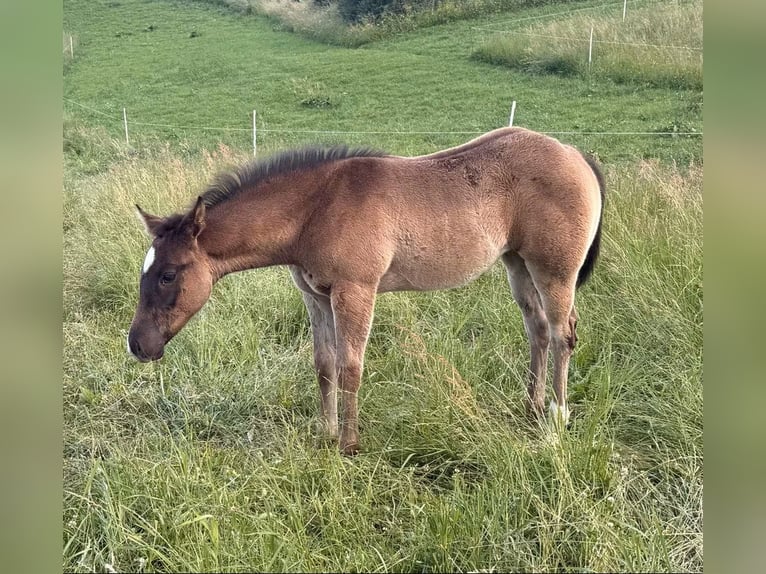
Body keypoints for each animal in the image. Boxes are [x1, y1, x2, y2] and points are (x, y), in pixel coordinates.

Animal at [128, 127, 605, 455]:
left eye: (168, 275)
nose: (137, 345)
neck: (316, 209)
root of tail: (576, 154)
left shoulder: (355, 291)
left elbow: (350, 367)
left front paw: (350, 443)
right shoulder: (315, 295)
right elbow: (324, 364)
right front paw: (324, 432)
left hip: (554, 272)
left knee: (562, 335)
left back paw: (557, 417)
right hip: (517, 265)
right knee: (537, 330)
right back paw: (532, 407)